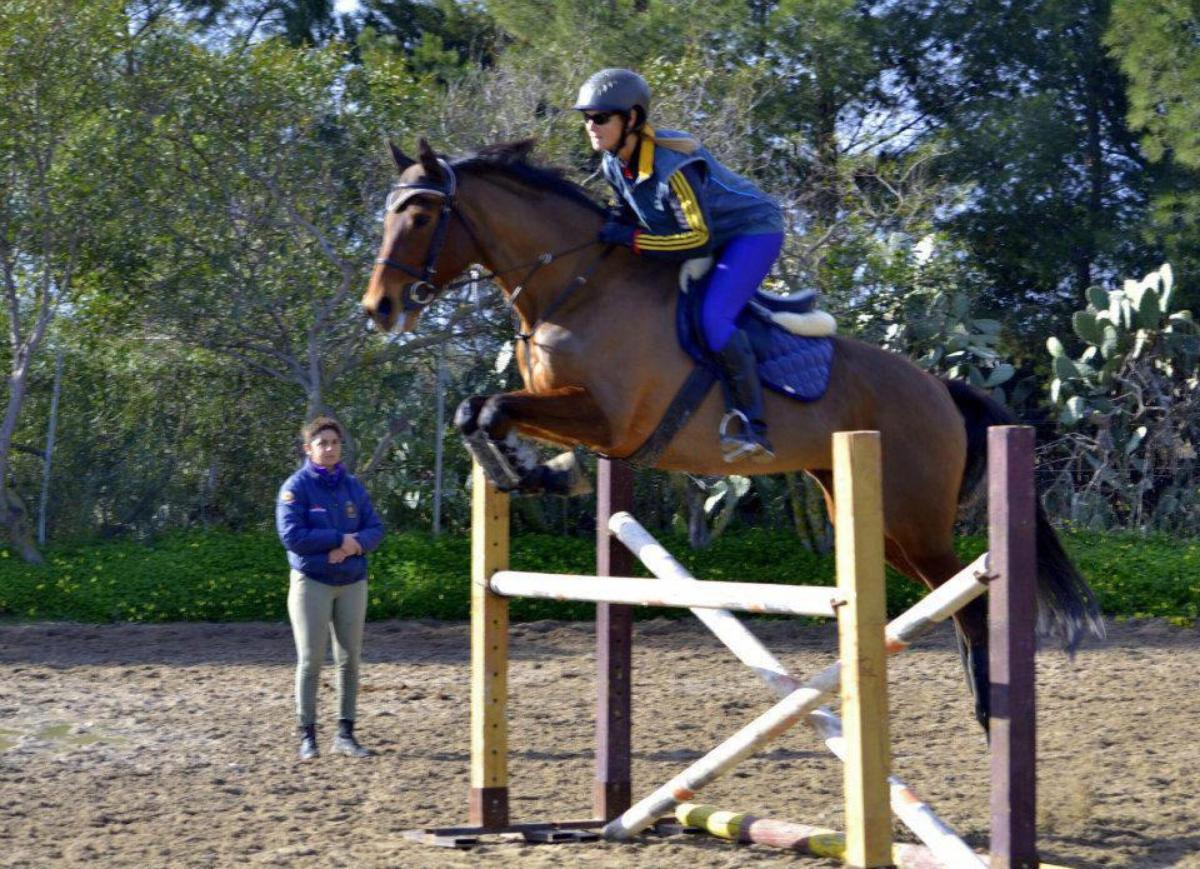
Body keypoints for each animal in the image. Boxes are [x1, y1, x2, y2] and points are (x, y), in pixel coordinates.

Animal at [362, 139, 1104, 729]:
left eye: (420, 216)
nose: (379, 308)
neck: (577, 286)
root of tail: (939, 388)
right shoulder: (564, 409)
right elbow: (475, 411)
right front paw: (533, 471)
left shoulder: (607, 420)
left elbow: (489, 409)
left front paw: (544, 472)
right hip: (875, 519)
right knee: (945, 599)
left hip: (913, 519)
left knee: (969, 601)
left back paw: (988, 712)